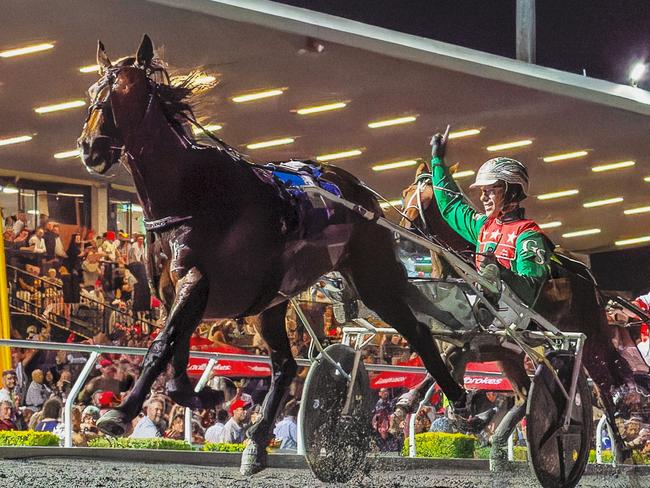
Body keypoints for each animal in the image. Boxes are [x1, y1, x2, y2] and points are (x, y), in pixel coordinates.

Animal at [78, 36, 476, 474]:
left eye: (125, 94)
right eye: (93, 92)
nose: (91, 147)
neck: (191, 191)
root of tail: (363, 195)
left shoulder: (197, 282)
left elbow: (162, 345)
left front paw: (120, 414)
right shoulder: (176, 293)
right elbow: (176, 355)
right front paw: (204, 395)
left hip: (372, 278)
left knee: (418, 332)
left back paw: (459, 400)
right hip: (271, 301)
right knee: (285, 365)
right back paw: (256, 442)